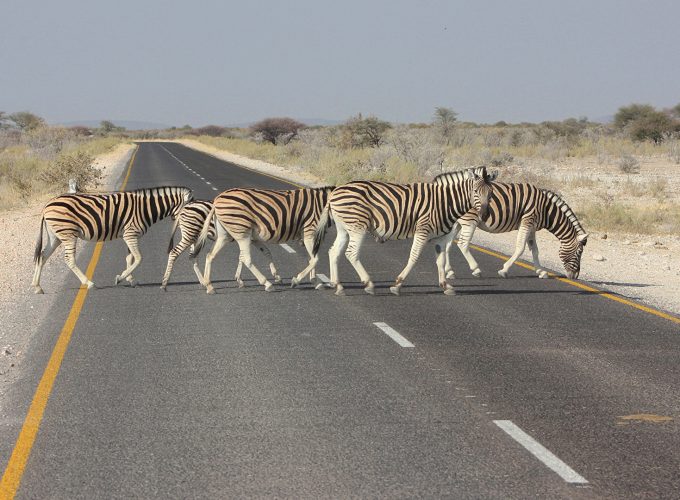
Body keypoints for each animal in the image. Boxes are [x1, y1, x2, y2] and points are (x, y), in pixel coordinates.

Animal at [32, 186, 193, 293]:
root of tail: (47, 205)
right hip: (68, 234)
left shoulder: (129, 236)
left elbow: (130, 258)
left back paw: (37, 286)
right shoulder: (131, 234)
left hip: (55, 236)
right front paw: (120, 278)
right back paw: (89, 283)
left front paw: (130, 280)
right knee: (68, 259)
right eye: (189, 207)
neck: (146, 209)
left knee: (42, 256)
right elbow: (139, 258)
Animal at [193, 186, 335, 294]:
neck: (323, 206)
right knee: (247, 259)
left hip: (225, 235)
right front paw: (297, 280)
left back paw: (209, 285)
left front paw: (315, 282)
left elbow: (312, 259)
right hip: (241, 232)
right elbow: (315, 259)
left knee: (210, 255)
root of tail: (217, 199)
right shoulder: (309, 232)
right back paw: (267, 284)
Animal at [311, 170, 493, 296]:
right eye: (475, 192)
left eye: (490, 193)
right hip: (357, 225)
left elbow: (440, 261)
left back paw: (338, 286)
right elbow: (413, 257)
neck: (445, 203)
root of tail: (334, 192)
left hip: (344, 228)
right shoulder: (422, 230)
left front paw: (446, 285)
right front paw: (397, 285)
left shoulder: (441, 238)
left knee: (333, 252)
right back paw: (368, 284)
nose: (484, 215)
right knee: (351, 253)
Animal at [442, 183, 588, 280]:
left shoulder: (532, 227)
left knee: (448, 244)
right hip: (470, 221)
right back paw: (476, 269)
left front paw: (541, 272)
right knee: (462, 244)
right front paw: (504, 270)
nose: (575, 277)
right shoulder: (527, 221)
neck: (546, 210)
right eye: (579, 252)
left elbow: (535, 250)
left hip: (457, 222)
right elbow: (520, 248)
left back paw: (449, 272)